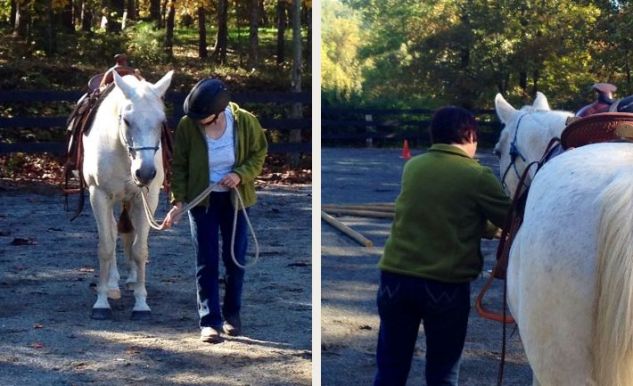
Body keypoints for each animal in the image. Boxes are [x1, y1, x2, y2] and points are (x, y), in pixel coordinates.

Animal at [82, 69, 175, 320]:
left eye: (161, 121)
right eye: (126, 120)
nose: (145, 172)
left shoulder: (148, 198)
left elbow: (140, 250)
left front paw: (141, 304)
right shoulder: (99, 195)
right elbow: (105, 246)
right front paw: (101, 302)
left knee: (129, 233)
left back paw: (132, 280)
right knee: (114, 232)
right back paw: (112, 284)